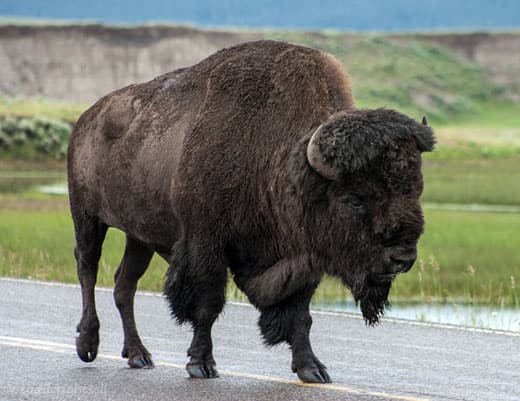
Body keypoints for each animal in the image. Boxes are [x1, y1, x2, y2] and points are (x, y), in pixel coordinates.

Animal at [69, 39, 434, 382]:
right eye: (355, 199)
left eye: (416, 191)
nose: (401, 258)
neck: (277, 162)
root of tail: (87, 118)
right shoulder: (206, 245)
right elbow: (208, 305)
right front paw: (201, 364)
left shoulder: (304, 257)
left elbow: (300, 315)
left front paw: (312, 369)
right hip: (87, 217)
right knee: (88, 269)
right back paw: (88, 345)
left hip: (139, 237)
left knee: (123, 285)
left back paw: (138, 355)